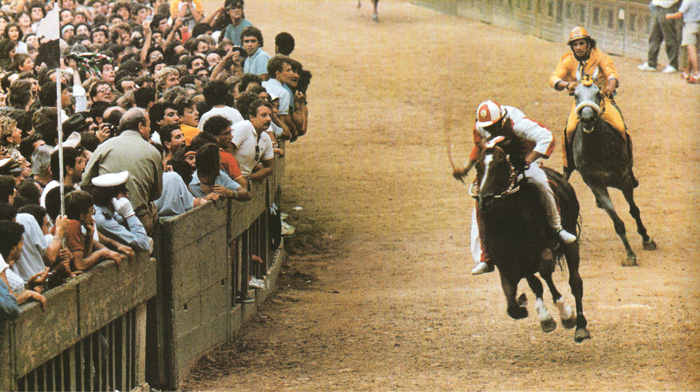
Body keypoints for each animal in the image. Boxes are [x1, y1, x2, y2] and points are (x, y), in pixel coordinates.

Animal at [474, 139, 588, 344]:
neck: (509, 222)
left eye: (501, 165)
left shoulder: (544, 251)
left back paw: (580, 326)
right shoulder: (513, 263)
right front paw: (537, 312)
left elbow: (544, 275)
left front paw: (563, 314)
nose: (484, 200)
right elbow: (525, 292)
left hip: (570, 242)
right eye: (478, 166)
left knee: (575, 282)